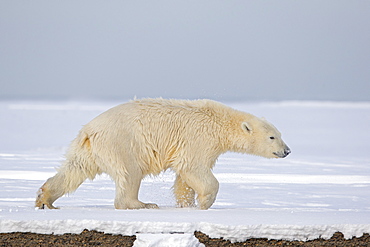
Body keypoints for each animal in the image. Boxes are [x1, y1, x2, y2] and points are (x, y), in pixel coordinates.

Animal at [35, 98, 290, 210]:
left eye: (279, 134)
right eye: (272, 137)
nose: (287, 151)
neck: (218, 122)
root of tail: (89, 131)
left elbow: (184, 178)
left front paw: (186, 205)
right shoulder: (199, 138)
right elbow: (193, 168)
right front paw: (205, 202)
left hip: (88, 149)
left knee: (74, 170)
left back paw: (45, 198)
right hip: (122, 143)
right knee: (130, 173)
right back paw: (143, 204)